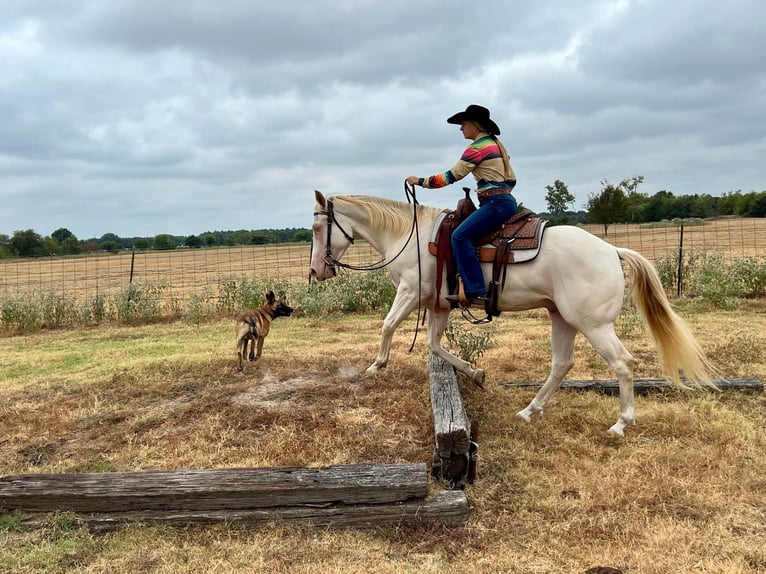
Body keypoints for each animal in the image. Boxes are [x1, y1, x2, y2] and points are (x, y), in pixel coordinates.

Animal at [308, 190, 716, 436]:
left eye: (316, 227)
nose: (316, 271)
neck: (410, 236)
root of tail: (612, 250)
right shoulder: (439, 304)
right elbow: (435, 346)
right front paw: (476, 373)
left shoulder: (411, 292)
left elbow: (388, 325)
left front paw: (374, 366)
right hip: (562, 318)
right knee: (561, 365)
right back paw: (529, 411)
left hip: (594, 325)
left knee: (623, 364)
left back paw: (621, 423)